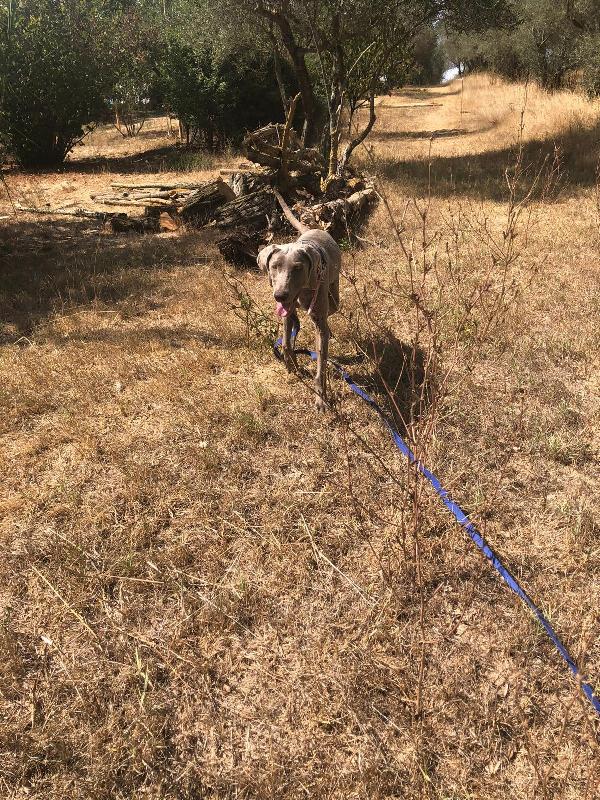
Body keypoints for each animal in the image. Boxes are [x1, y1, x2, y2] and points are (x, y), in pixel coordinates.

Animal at [258, 190, 342, 410]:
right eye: (274, 266)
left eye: (298, 268)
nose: (279, 295)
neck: (303, 292)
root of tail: (314, 229)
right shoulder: (285, 312)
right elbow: (287, 344)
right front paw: (292, 366)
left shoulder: (318, 317)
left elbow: (321, 363)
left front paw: (321, 398)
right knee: (296, 321)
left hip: (333, 295)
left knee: (329, 313)